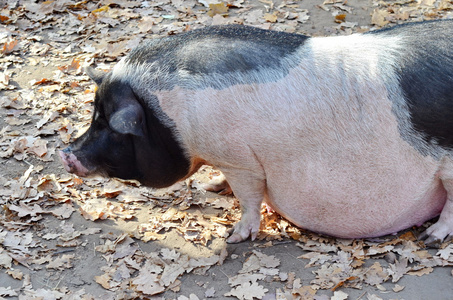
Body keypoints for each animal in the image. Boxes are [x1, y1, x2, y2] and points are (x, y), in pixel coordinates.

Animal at [60, 20, 452, 246]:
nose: (66, 153)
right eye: (95, 115)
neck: (171, 117)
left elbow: (249, 198)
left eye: (107, 125)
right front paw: (210, 187)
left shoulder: (240, 159)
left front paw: (232, 238)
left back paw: (432, 240)